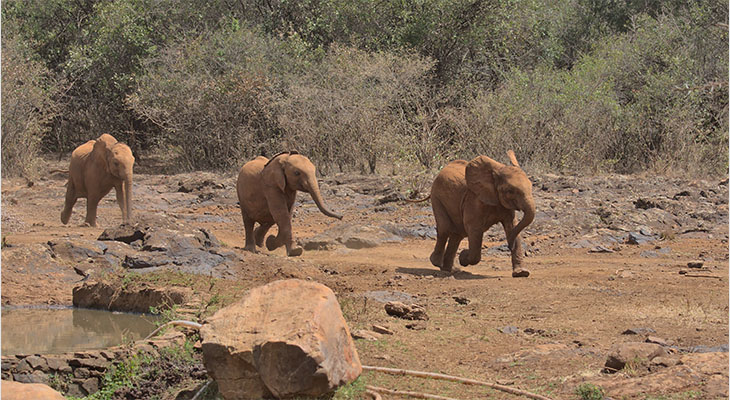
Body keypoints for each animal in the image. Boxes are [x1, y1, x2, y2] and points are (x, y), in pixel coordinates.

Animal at [410, 150, 536, 278]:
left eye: (531, 186)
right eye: (510, 191)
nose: (509, 245)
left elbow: (512, 227)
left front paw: (522, 273)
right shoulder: (474, 201)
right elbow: (474, 229)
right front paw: (463, 256)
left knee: (457, 234)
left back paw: (451, 269)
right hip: (437, 197)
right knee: (445, 229)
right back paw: (437, 263)